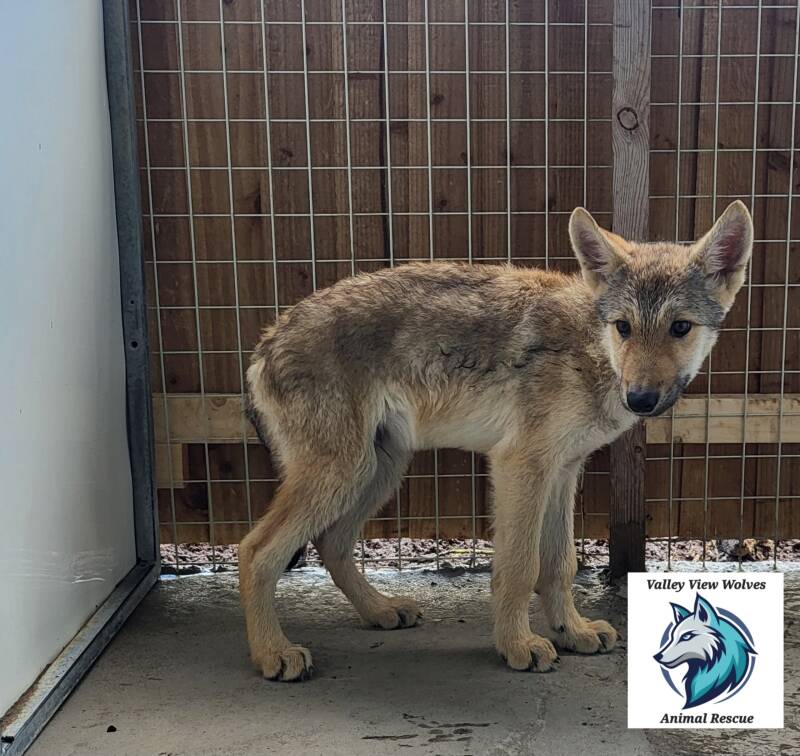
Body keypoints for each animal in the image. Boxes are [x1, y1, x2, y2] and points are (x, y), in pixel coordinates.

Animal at [240, 201, 753, 681]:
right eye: (623, 327)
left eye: (680, 327)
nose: (640, 399)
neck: (589, 349)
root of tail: (265, 342)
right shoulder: (519, 465)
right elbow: (520, 568)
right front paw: (517, 646)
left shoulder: (562, 471)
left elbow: (560, 564)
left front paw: (572, 632)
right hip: (345, 474)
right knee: (256, 551)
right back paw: (272, 653)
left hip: (378, 471)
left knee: (332, 544)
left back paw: (380, 610)